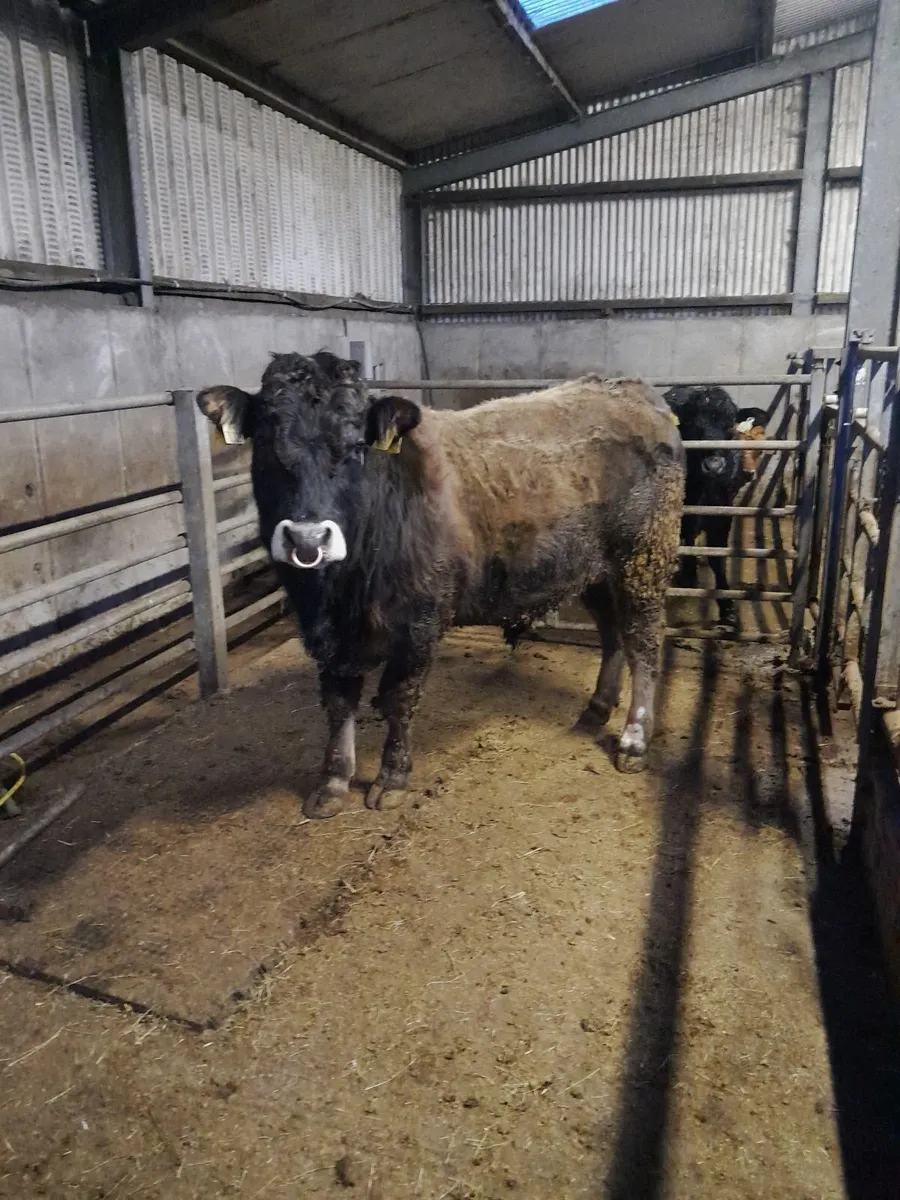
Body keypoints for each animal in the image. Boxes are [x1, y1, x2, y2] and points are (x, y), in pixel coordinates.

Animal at [197, 354, 685, 818]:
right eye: (266, 442)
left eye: (356, 445)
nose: (308, 539)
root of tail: (631, 390)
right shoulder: (327, 634)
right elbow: (338, 702)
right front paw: (333, 782)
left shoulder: (419, 622)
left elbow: (398, 698)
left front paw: (391, 778)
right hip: (595, 570)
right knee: (612, 634)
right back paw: (597, 708)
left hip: (643, 558)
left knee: (643, 642)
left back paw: (634, 739)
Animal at [663, 386, 768, 626]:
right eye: (692, 424)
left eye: (729, 425)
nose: (714, 465)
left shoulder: (722, 515)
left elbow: (717, 557)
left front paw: (728, 608)